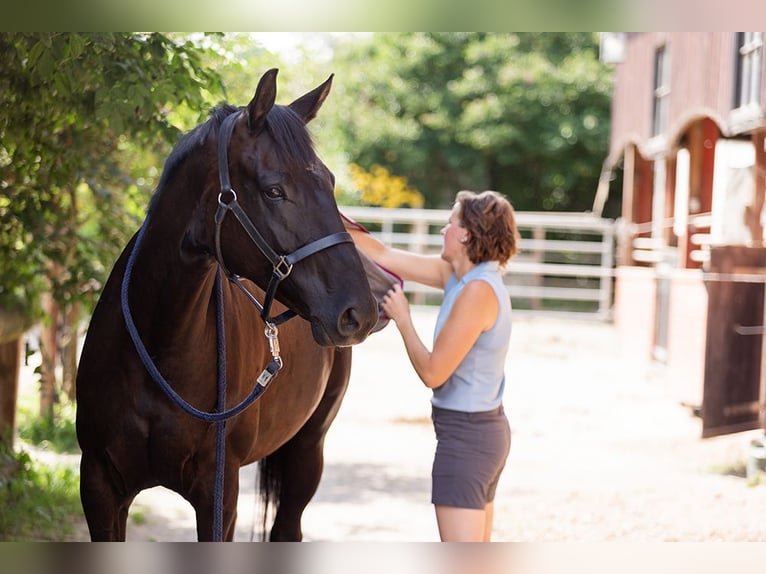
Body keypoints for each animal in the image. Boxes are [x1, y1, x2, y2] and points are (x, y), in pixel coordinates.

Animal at [75, 70, 390, 544]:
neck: (159, 346)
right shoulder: (99, 487)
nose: (360, 312)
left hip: (308, 448)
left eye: (331, 183)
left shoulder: (218, 494)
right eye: (275, 190)